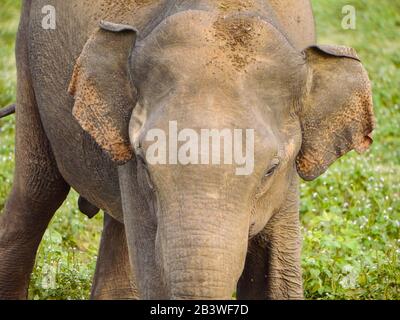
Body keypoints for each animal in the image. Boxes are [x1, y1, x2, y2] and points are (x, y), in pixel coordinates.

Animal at [0, 0, 376, 300]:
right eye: (144, 162)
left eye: (271, 169)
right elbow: (152, 272)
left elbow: (276, 277)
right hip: (29, 59)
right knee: (37, 194)